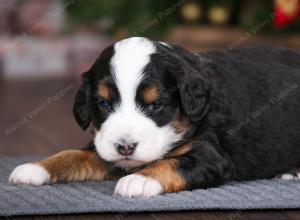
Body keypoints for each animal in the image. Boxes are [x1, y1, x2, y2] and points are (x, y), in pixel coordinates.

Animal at [8, 37, 300, 197]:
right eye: (103, 103)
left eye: (156, 104)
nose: (126, 147)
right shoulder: (104, 148)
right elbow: (72, 155)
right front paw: (36, 167)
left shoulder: (211, 156)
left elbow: (171, 164)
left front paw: (140, 179)